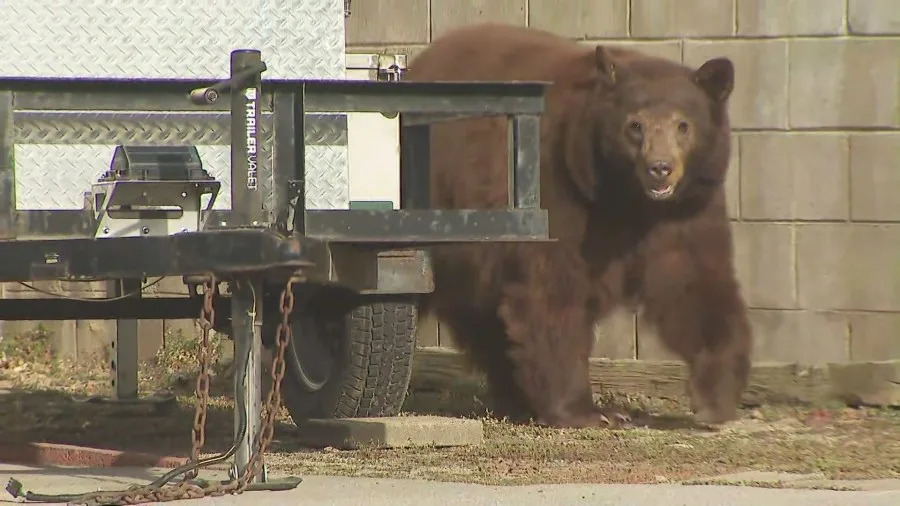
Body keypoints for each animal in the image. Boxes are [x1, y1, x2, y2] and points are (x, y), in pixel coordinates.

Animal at [403, 23, 752, 429]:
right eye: (635, 125)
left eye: (684, 124)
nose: (660, 167)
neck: (625, 198)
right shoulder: (558, 189)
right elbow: (553, 290)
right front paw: (588, 410)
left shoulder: (685, 212)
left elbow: (695, 284)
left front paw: (716, 397)